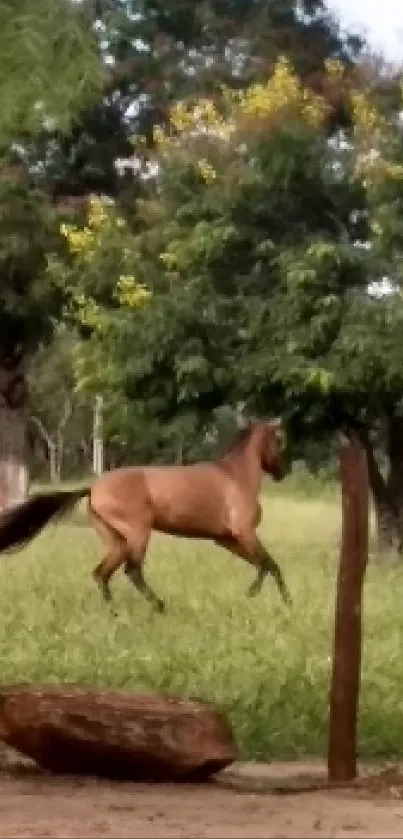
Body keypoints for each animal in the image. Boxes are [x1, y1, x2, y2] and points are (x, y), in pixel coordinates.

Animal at [0, 418, 292, 612]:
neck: (236, 477)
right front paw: (282, 601)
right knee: (132, 570)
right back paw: (159, 605)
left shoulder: (226, 539)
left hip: (116, 541)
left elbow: (263, 564)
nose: (282, 472)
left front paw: (258, 594)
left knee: (101, 574)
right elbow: (271, 564)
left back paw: (114, 612)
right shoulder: (245, 532)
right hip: (139, 533)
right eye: (278, 441)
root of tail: (93, 489)